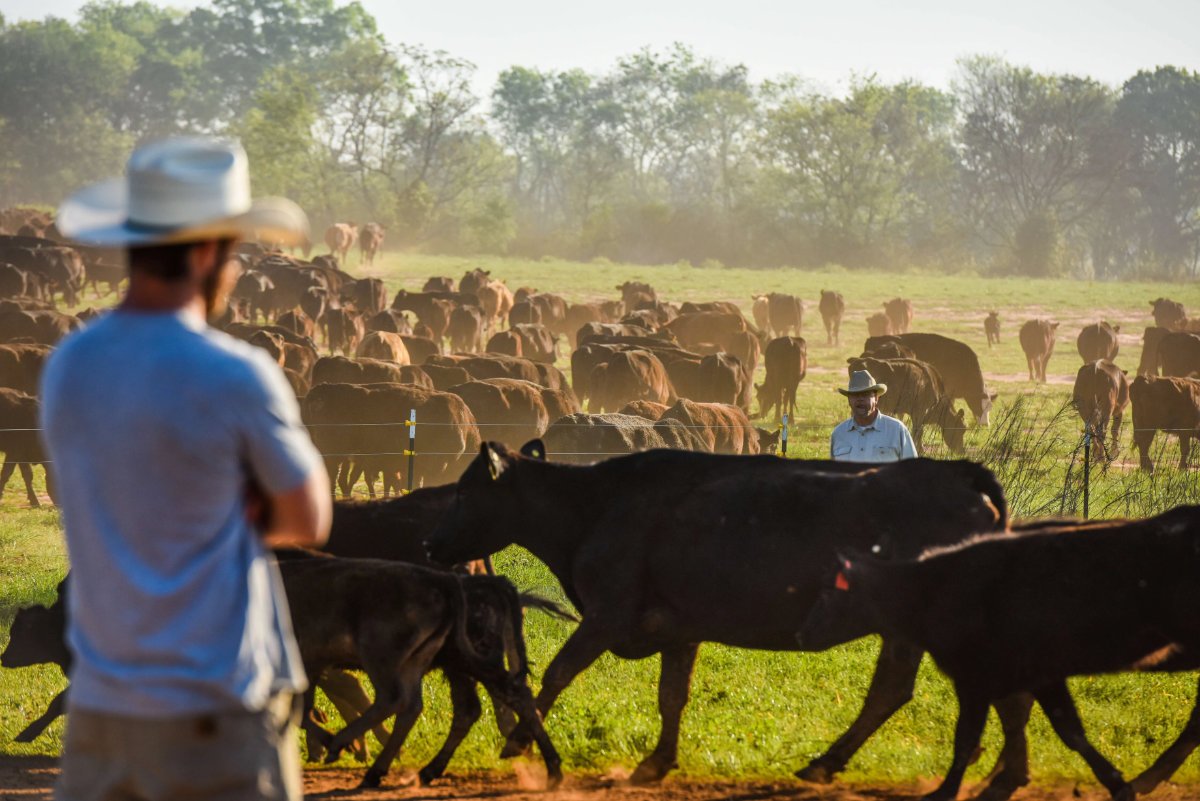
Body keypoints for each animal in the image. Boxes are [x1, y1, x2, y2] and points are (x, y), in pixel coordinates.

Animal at [427, 445, 1013, 789]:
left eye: (463, 491)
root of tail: (957, 475)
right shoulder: (679, 628)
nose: (431, 544)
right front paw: (655, 763)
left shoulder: (607, 615)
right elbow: (672, 695)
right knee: (906, 689)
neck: (595, 506)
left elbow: (555, 673)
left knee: (901, 689)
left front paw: (518, 742)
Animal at [798, 506, 1200, 801]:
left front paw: (949, 790)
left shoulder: (976, 678)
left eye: (830, 591)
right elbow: (1064, 728)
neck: (934, 585)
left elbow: (967, 736)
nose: (803, 632)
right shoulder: (1032, 675)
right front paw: (1115, 782)